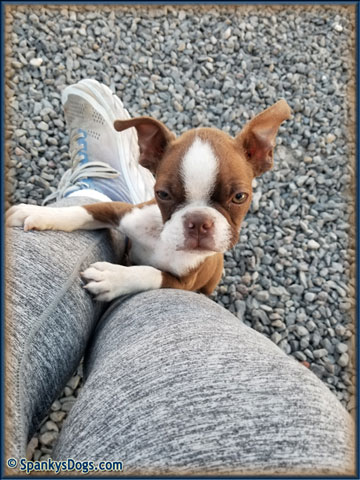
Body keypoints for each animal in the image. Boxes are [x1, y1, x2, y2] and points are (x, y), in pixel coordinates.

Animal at [5, 99, 292, 300]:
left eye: (239, 197)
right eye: (163, 194)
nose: (199, 222)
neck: (163, 239)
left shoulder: (182, 283)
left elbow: (149, 272)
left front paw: (113, 276)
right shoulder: (121, 211)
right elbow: (83, 210)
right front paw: (38, 213)